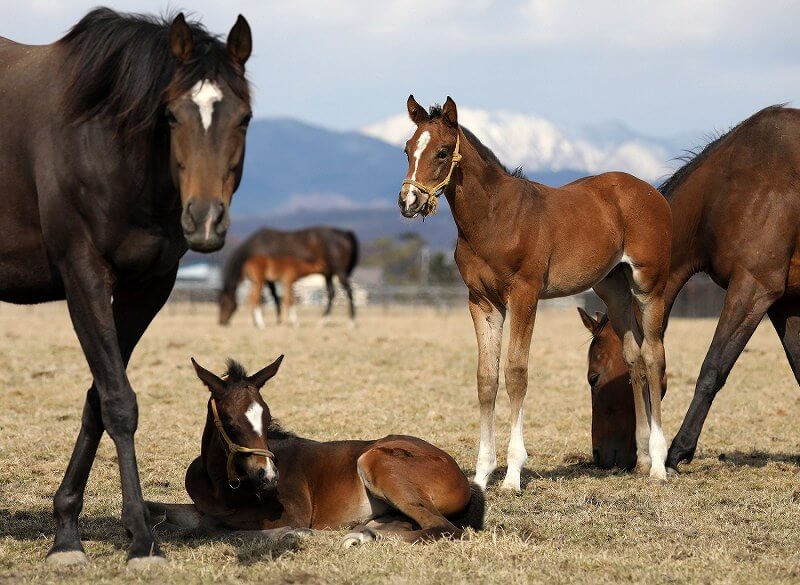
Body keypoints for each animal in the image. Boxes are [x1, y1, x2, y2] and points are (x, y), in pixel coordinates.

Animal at [0, 8, 253, 564]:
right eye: (171, 116)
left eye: (244, 118)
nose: (205, 221)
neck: (104, 140)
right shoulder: (83, 275)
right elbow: (118, 400)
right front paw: (140, 537)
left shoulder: (149, 286)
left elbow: (99, 397)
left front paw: (66, 528)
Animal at [148, 356, 488, 548]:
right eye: (231, 425)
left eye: (267, 419)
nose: (269, 476)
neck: (222, 486)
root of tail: (464, 478)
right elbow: (161, 511)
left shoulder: (291, 512)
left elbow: (211, 526)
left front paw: (291, 536)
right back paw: (364, 531)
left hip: (376, 459)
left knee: (444, 528)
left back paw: (364, 536)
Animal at [217, 227, 358, 328]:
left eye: (223, 303)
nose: (221, 322)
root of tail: (345, 233)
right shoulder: (282, 281)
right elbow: (284, 298)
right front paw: (284, 320)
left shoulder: (276, 281)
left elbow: (281, 298)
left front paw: (283, 320)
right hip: (329, 274)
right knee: (332, 293)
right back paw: (324, 321)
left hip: (338, 271)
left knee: (348, 291)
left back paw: (350, 321)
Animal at [396, 96, 672, 488]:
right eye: (407, 149)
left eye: (443, 151)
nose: (408, 201)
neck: (494, 218)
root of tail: (652, 194)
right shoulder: (481, 301)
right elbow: (486, 378)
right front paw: (482, 474)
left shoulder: (524, 295)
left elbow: (516, 373)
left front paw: (513, 474)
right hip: (613, 288)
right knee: (633, 357)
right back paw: (644, 460)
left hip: (649, 287)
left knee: (653, 357)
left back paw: (660, 465)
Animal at [580, 104, 800, 470]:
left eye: (594, 378)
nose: (599, 458)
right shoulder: (784, 302)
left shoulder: (753, 288)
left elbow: (712, 368)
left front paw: (677, 451)